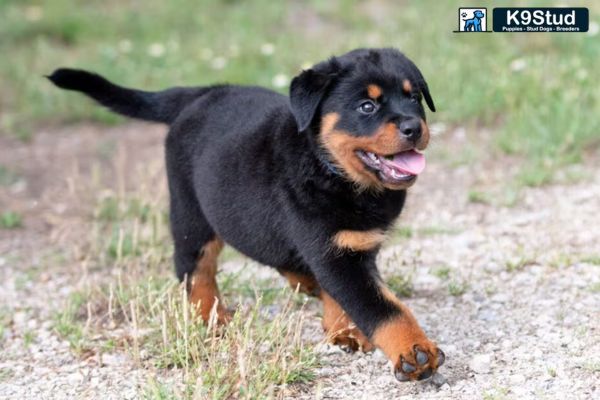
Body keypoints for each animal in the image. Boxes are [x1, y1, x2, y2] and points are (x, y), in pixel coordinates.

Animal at [49, 47, 446, 382]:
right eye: (366, 106)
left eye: (414, 97)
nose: (414, 127)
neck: (330, 168)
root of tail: (200, 94)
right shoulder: (334, 252)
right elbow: (383, 308)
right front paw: (414, 351)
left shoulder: (350, 248)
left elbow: (349, 295)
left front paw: (343, 329)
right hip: (192, 212)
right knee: (195, 268)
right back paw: (212, 318)